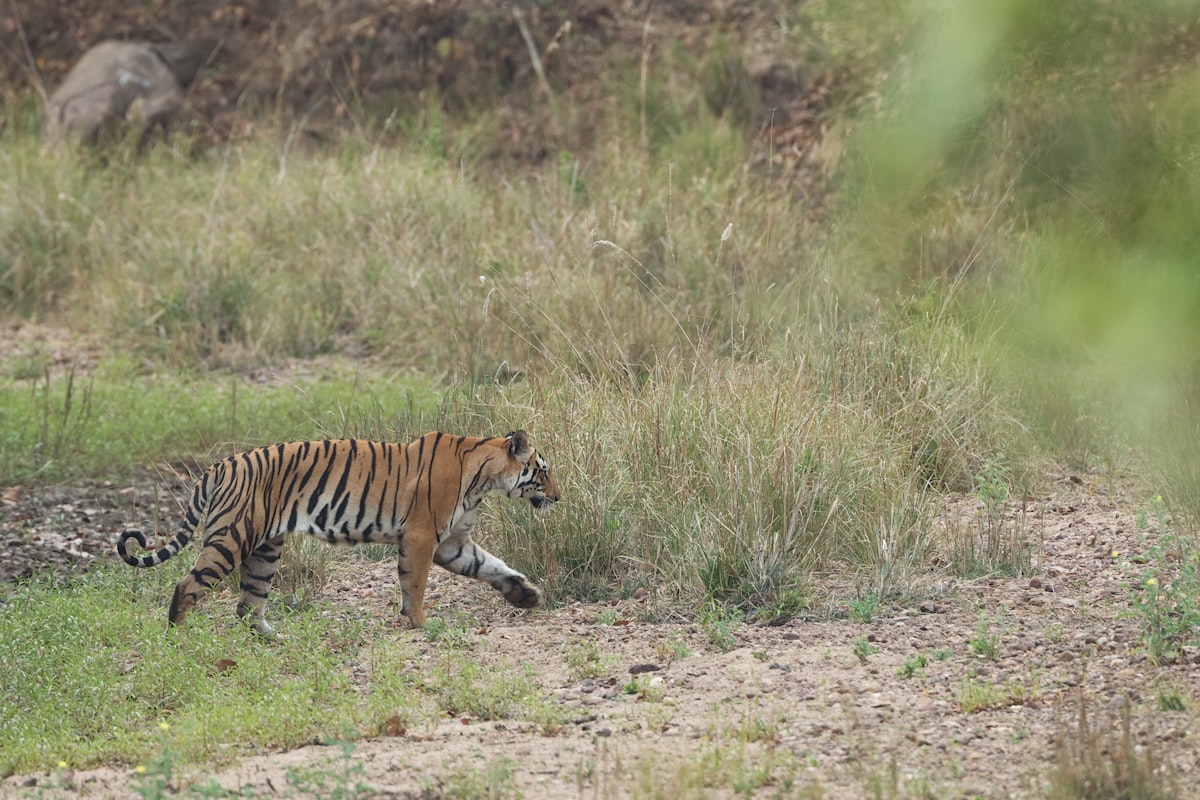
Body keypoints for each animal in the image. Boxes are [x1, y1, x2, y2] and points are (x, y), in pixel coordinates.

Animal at [116, 430, 560, 638]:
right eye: (544, 470)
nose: (558, 496)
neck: (485, 477)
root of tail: (218, 466)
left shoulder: (452, 544)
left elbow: (492, 567)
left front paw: (526, 595)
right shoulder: (421, 537)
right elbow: (415, 585)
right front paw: (421, 623)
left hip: (264, 550)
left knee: (247, 605)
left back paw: (275, 639)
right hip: (231, 538)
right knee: (187, 585)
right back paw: (177, 638)